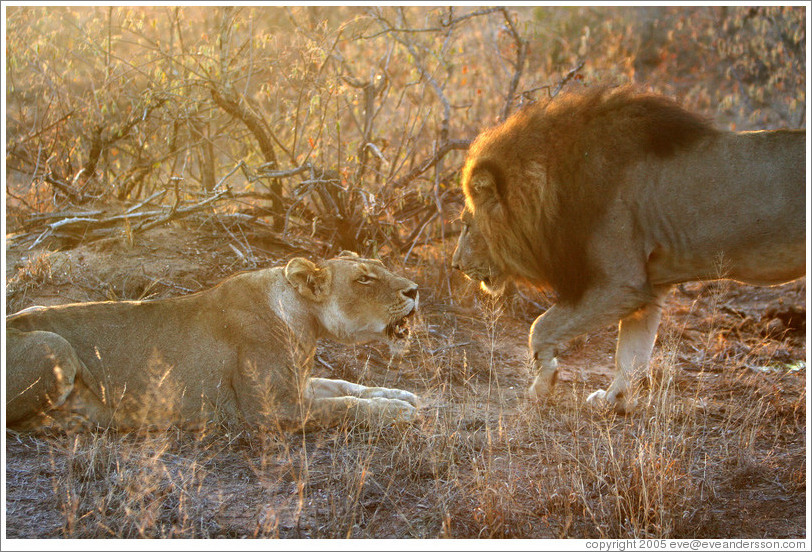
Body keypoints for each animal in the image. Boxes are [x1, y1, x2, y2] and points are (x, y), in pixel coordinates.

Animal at [6, 252, 422, 430]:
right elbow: (345, 406)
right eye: (364, 278)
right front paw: (396, 412)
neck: (304, 319)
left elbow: (347, 386)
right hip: (54, 345)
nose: (416, 290)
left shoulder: (299, 385)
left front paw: (402, 396)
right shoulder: (272, 408)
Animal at [450, 86, 804, 412]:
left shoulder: (620, 285)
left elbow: (540, 327)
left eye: (466, 225)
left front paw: (543, 385)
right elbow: (631, 355)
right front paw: (613, 401)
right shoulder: (649, 288)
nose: (455, 266)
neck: (553, 186)